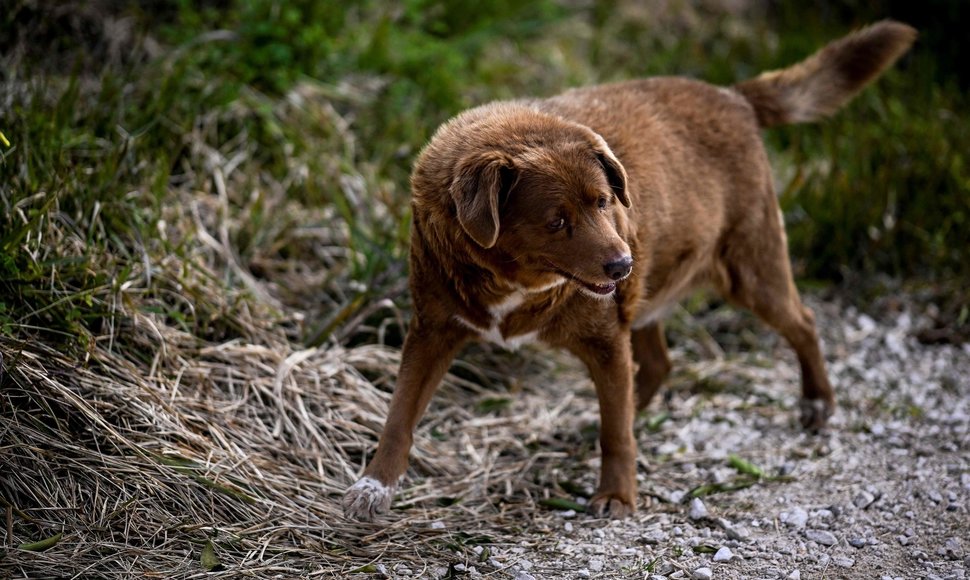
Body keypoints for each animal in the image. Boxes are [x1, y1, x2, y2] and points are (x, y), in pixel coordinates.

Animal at [342, 21, 916, 520]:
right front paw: (373, 485)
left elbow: (615, 432)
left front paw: (617, 495)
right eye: (557, 221)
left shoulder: (604, 337)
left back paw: (817, 402)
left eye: (603, 201)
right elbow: (399, 413)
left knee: (802, 322)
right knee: (657, 365)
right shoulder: (432, 329)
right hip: (650, 294)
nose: (622, 263)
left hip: (748, 268)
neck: (515, 282)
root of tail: (733, 96)